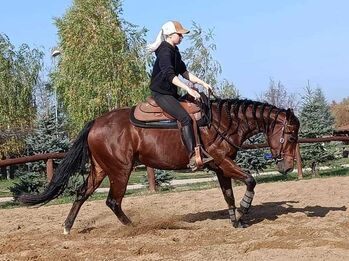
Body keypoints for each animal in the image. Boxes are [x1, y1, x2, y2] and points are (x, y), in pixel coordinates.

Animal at [18, 96, 300, 234]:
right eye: (292, 135)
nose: (286, 167)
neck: (222, 122)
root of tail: (96, 123)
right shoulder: (223, 162)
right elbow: (250, 180)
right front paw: (243, 211)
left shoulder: (221, 167)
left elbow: (228, 194)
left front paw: (236, 220)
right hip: (120, 170)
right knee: (113, 201)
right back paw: (135, 227)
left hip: (99, 169)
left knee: (81, 194)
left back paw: (67, 227)